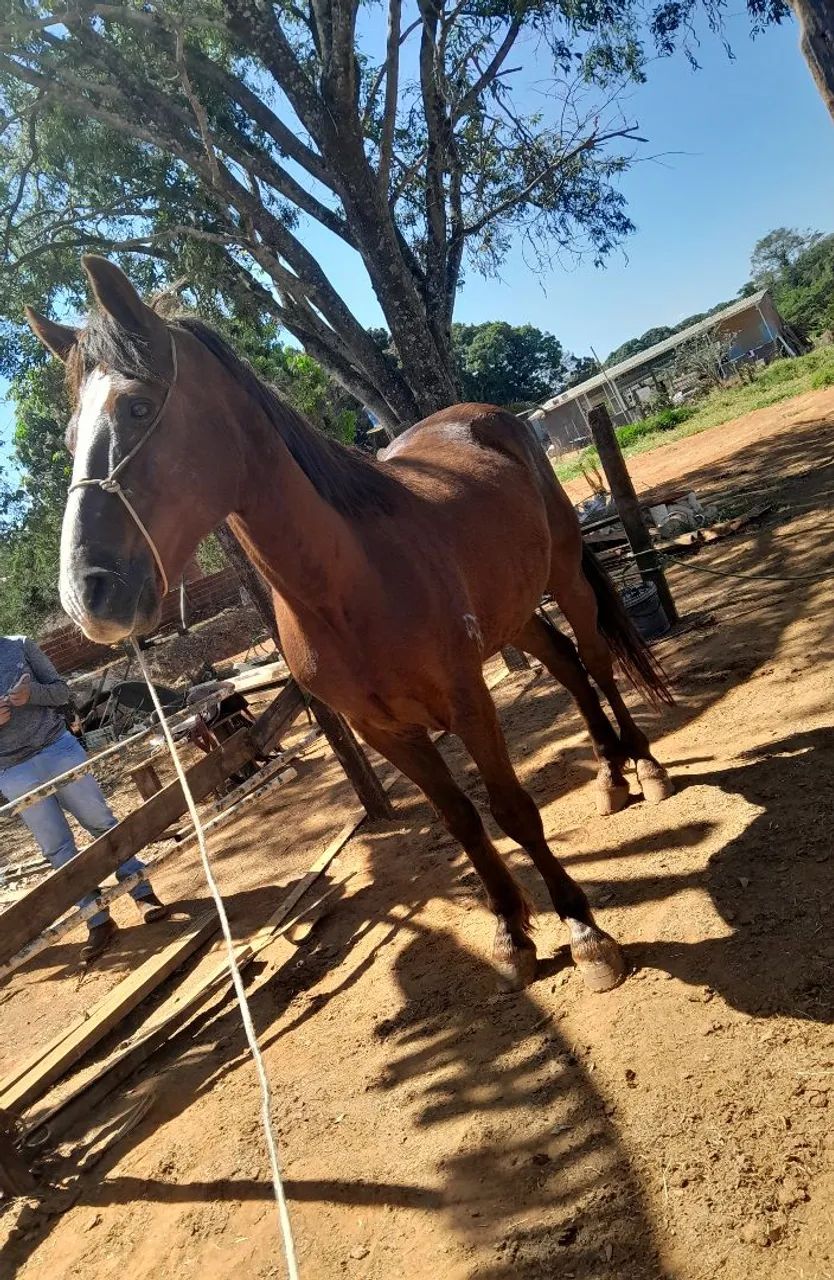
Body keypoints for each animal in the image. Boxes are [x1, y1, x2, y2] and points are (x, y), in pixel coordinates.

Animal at [26, 256, 674, 995]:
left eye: (136, 406)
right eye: (70, 438)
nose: (87, 594)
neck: (348, 587)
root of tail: (490, 421)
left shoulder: (468, 702)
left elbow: (511, 810)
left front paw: (582, 929)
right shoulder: (382, 731)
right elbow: (462, 820)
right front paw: (512, 937)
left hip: (563, 579)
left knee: (595, 659)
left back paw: (644, 766)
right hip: (514, 614)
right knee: (566, 666)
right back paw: (610, 777)